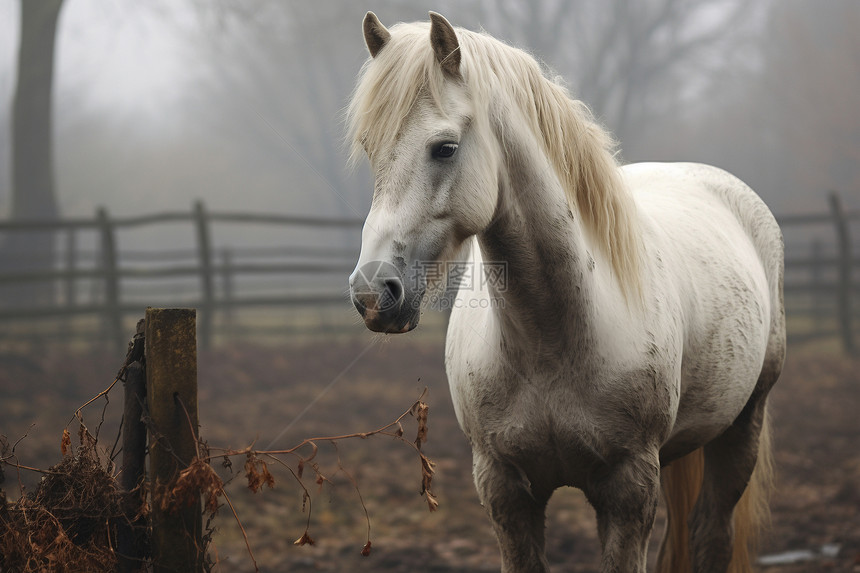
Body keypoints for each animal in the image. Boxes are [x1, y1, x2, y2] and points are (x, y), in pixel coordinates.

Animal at [346, 12, 784, 572]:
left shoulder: (628, 491)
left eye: (444, 148)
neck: (552, 337)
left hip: (742, 426)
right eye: (370, 149)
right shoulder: (504, 490)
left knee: (712, 534)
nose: (371, 292)